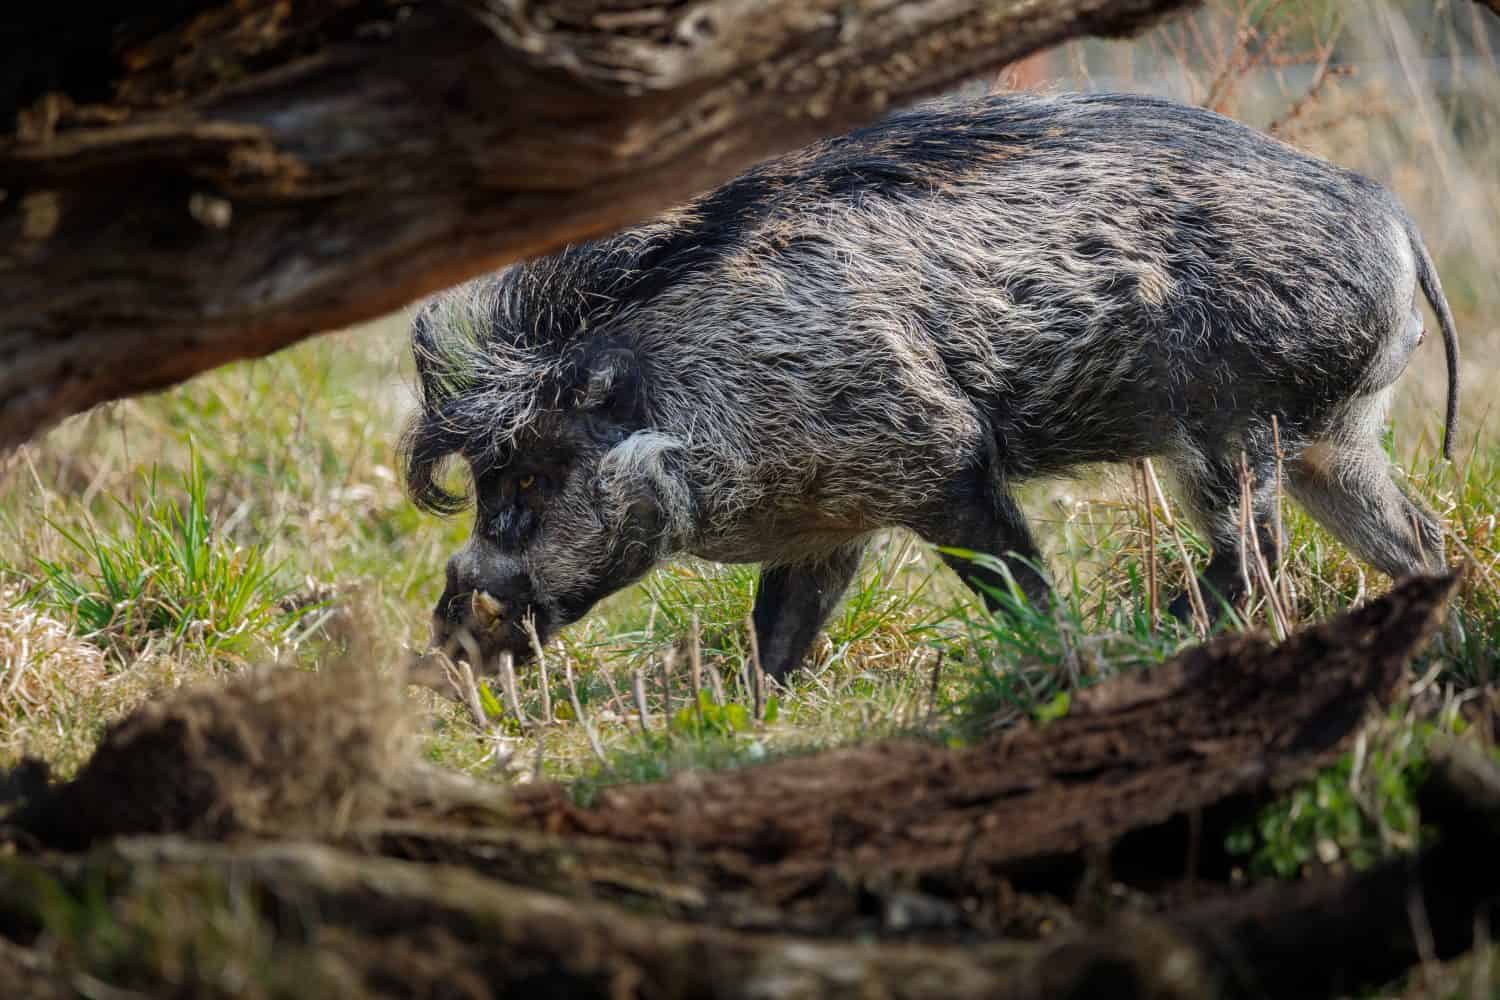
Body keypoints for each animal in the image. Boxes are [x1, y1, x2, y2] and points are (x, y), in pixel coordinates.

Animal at [401, 90, 1459, 677]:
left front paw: (1064, 654)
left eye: (528, 479)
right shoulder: (830, 517)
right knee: (1415, 539)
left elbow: (1015, 583)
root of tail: (1392, 217)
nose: (449, 641)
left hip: (1236, 431)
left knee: (1257, 557)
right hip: (1335, 439)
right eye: (487, 485)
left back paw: (1161, 630)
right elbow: (776, 634)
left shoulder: (941, 458)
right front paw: (754, 711)